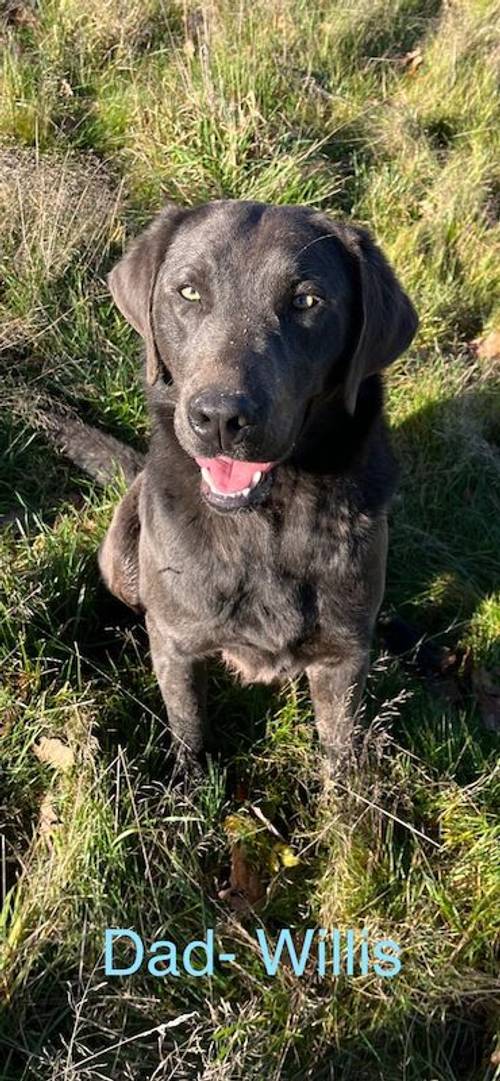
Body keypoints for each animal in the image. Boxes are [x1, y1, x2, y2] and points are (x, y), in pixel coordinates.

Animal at [98, 203, 419, 773]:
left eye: (306, 301)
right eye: (189, 292)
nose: (220, 418)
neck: (265, 524)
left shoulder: (343, 658)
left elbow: (341, 755)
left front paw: (349, 799)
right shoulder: (177, 644)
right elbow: (188, 726)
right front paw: (186, 785)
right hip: (123, 551)